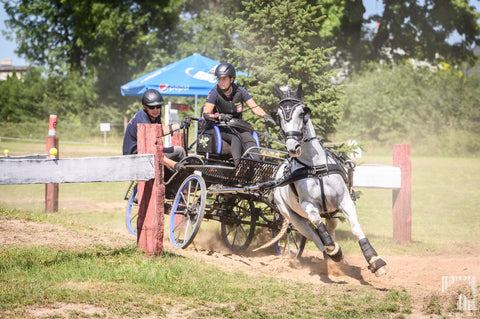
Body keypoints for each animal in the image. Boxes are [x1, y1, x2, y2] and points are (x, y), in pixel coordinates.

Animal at [272, 85, 388, 278]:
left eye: (302, 113)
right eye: (279, 116)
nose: (292, 147)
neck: (315, 167)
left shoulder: (344, 200)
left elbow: (356, 228)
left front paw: (375, 260)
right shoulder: (308, 206)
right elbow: (318, 227)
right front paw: (335, 251)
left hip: (331, 213)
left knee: (330, 229)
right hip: (293, 217)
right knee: (314, 235)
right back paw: (332, 255)